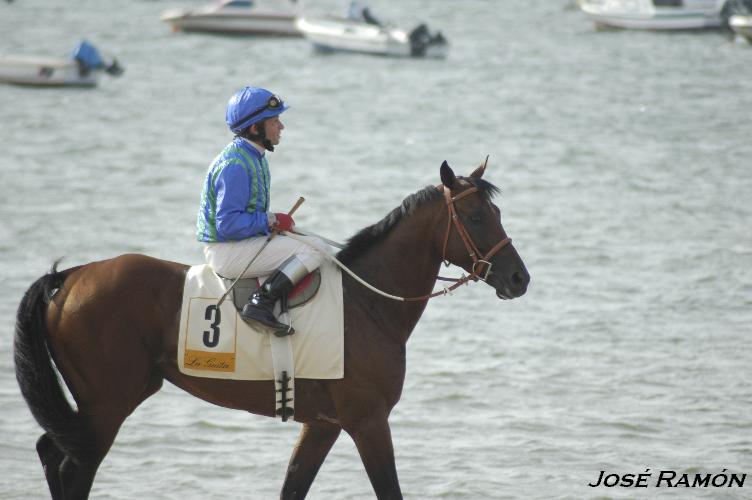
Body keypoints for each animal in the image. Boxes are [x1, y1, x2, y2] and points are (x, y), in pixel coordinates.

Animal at [11, 162, 528, 498]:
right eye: (477, 216)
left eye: (498, 214)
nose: (520, 278)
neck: (367, 303)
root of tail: (70, 277)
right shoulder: (368, 420)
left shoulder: (323, 424)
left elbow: (293, 486)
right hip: (107, 405)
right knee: (73, 468)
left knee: (52, 452)